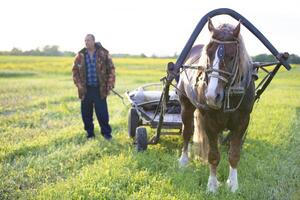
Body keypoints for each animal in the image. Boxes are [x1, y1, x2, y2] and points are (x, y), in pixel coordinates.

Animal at [177, 18, 256, 192]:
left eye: (232, 56)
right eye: (208, 53)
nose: (212, 96)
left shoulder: (242, 122)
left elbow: (234, 154)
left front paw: (233, 184)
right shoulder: (209, 121)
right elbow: (213, 155)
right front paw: (212, 185)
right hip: (186, 106)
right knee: (187, 132)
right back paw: (184, 160)